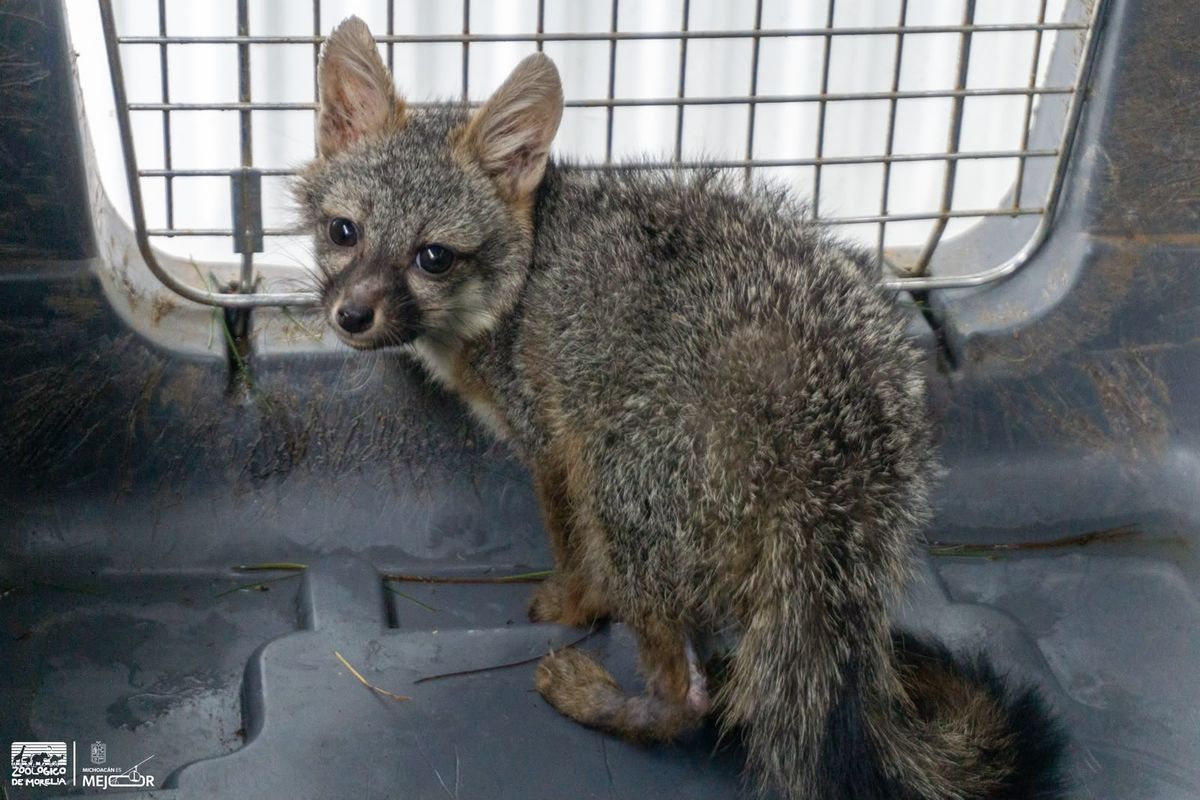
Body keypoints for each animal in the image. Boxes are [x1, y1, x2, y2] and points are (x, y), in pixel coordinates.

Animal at [296, 17, 1067, 800]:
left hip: (620, 485)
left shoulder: (552, 444)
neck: (527, 271)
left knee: (685, 699)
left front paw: (570, 606)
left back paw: (599, 698)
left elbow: (572, 552)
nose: (352, 316)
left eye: (434, 257)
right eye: (343, 232)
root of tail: (834, 429)